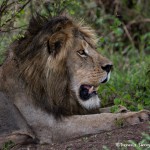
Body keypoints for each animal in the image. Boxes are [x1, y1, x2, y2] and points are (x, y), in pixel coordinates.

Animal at [0, 15, 149, 145]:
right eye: (81, 52)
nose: (110, 66)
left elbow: (97, 112)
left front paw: (121, 108)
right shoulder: (52, 127)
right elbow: (99, 119)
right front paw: (137, 114)